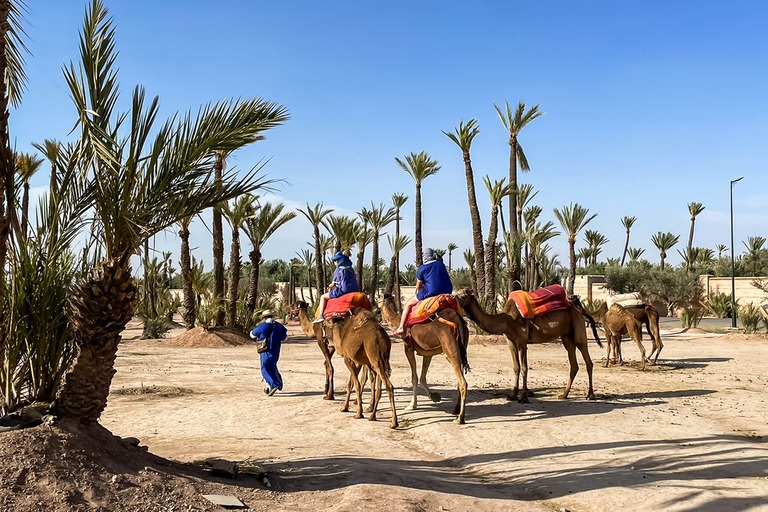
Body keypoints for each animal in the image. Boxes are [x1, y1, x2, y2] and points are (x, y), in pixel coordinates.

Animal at [380, 294, 472, 426]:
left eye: (378, 300)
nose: (374, 310)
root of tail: (456, 318)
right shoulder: (427, 353)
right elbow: (422, 377)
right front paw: (433, 396)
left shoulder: (408, 348)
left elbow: (414, 377)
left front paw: (412, 405)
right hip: (460, 348)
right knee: (460, 380)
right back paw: (455, 410)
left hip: (450, 350)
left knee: (463, 382)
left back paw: (460, 418)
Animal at [452, 288, 604, 404]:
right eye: (455, 292)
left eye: (463, 295)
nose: (451, 297)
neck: (506, 319)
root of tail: (580, 311)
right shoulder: (510, 340)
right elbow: (516, 367)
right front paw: (513, 395)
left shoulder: (522, 340)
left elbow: (524, 367)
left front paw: (524, 397)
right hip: (566, 336)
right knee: (574, 365)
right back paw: (563, 395)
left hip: (578, 332)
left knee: (588, 362)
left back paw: (590, 395)